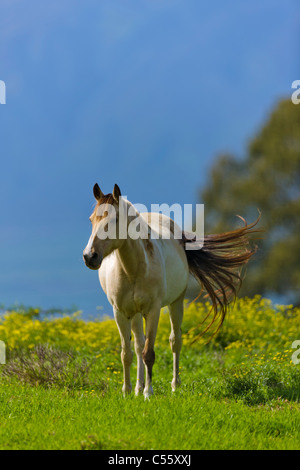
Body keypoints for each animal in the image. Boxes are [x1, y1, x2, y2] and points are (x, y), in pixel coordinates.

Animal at [82, 183, 258, 396]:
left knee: (175, 341)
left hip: (175, 304)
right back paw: (138, 387)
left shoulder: (153, 310)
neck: (133, 270)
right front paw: (127, 392)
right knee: (138, 344)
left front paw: (148, 393)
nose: (89, 256)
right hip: (135, 313)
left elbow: (149, 353)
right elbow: (127, 354)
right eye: (92, 219)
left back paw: (174, 385)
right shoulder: (120, 312)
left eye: (115, 219)